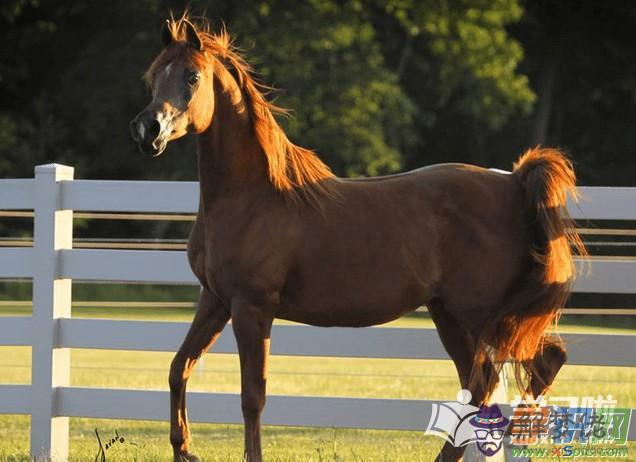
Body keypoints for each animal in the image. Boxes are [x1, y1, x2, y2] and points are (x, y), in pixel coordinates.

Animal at [129, 15, 588, 462]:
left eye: (192, 76)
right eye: (153, 77)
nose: (148, 128)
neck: (253, 195)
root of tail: (513, 182)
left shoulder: (252, 307)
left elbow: (252, 396)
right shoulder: (216, 300)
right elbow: (179, 367)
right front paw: (184, 449)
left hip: (482, 315)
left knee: (517, 372)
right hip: (453, 316)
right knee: (492, 381)